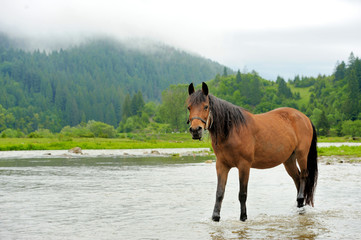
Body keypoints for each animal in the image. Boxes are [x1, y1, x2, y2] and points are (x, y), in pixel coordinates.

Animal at [187, 82, 316, 221]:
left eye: (206, 107)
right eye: (189, 107)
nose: (195, 130)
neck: (232, 130)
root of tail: (305, 118)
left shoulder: (244, 165)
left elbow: (242, 194)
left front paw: (243, 217)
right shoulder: (222, 165)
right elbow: (220, 193)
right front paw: (215, 217)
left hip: (301, 155)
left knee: (303, 176)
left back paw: (301, 200)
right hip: (288, 160)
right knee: (297, 178)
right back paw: (299, 205)